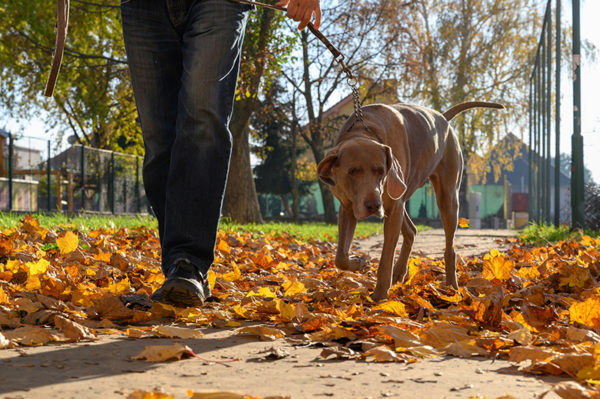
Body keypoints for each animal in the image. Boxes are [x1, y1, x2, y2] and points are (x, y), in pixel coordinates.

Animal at [318, 101, 502, 302]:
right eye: (352, 171)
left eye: (380, 170)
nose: (373, 205)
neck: (363, 130)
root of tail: (443, 117)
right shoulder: (347, 207)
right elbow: (340, 257)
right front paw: (357, 263)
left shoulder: (391, 206)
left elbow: (386, 256)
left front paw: (380, 295)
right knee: (412, 230)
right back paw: (400, 271)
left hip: (447, 197)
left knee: (449, 248)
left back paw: (452, 287)